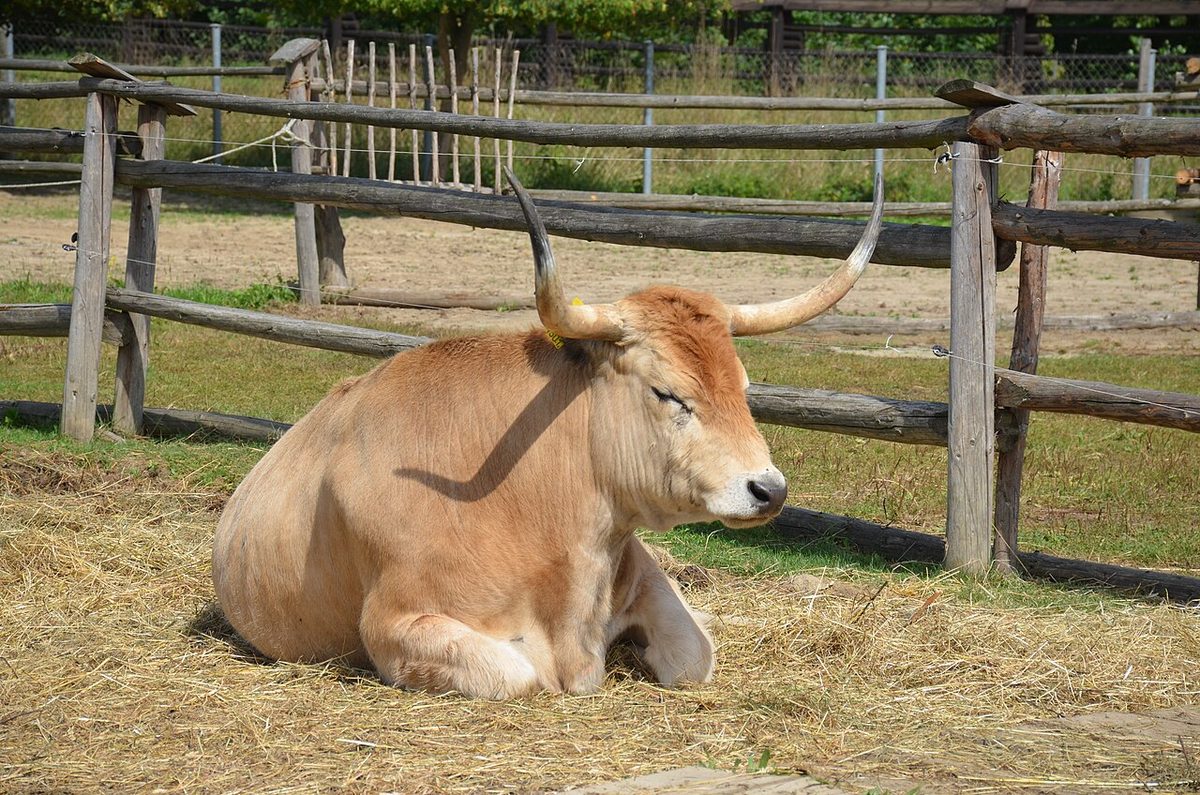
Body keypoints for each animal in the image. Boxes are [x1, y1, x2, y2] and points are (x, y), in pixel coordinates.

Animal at [212, 169, 883, 699]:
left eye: (742, 386)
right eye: (667, 392)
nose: (768, 489)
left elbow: (695, 655)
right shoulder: (396, 622)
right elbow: (517, 675)